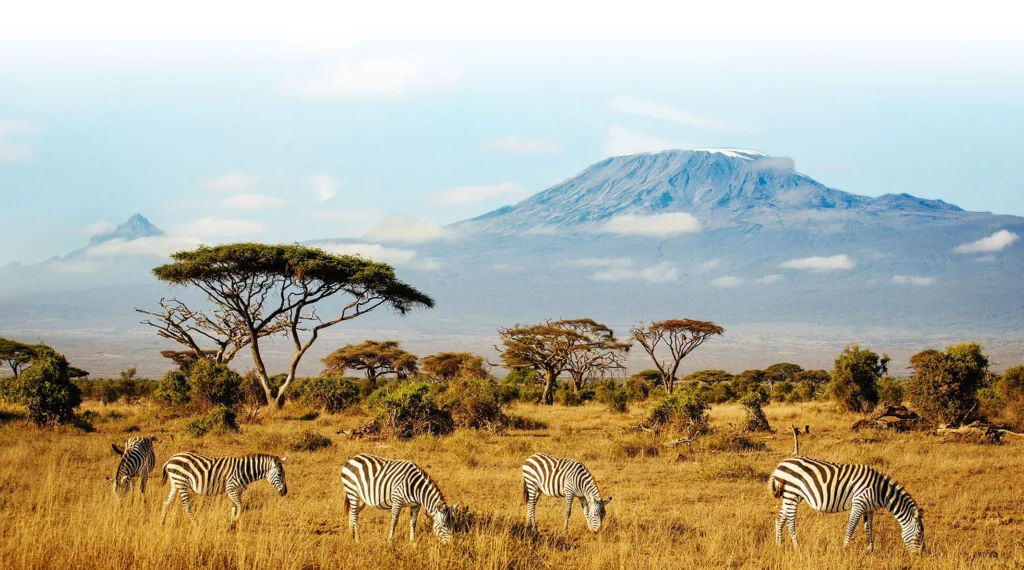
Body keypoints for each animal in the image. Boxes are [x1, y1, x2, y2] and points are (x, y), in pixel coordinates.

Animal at [770, 456, 925, 554]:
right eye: (918, 535)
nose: (920, 555)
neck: (880, 491)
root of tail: (781, 464)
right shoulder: (859, 503)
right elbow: (851, 527)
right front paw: (843, 550)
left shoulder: (869, 508)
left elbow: (869, 529)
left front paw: (870, 551)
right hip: (792, 493)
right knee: (790, 521)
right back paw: (797, 547)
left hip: (789, 496)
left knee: (780, 518)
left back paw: (779, 545)